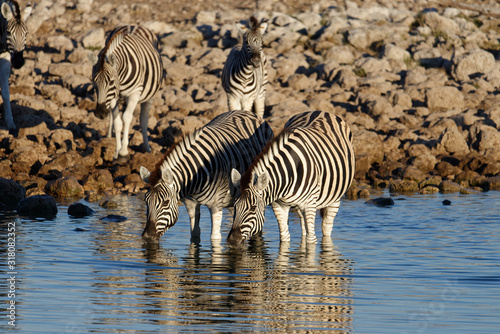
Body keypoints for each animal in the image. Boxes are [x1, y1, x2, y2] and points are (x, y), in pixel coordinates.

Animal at [87, 24, 163, 159]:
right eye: (94, 82)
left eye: (111, 82)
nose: (100, 113)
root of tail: (134, 25)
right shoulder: (113, 97)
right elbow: (117, 121)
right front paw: (117, 151)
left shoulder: (134, 93)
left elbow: (127, 117)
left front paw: (123, 151)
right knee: (113, 117)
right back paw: (109, 137)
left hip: (149, 95)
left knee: (143, 119)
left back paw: (147, 148)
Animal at [229, 111, 358, 247]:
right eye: (235, 206)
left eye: (253, 208)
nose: (232, 240)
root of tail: (320, 111)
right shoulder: (279, 205)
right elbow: (284, 237)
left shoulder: (310, 204)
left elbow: (312, 240)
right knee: (304, 227)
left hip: (335, 198)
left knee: (326, 228)